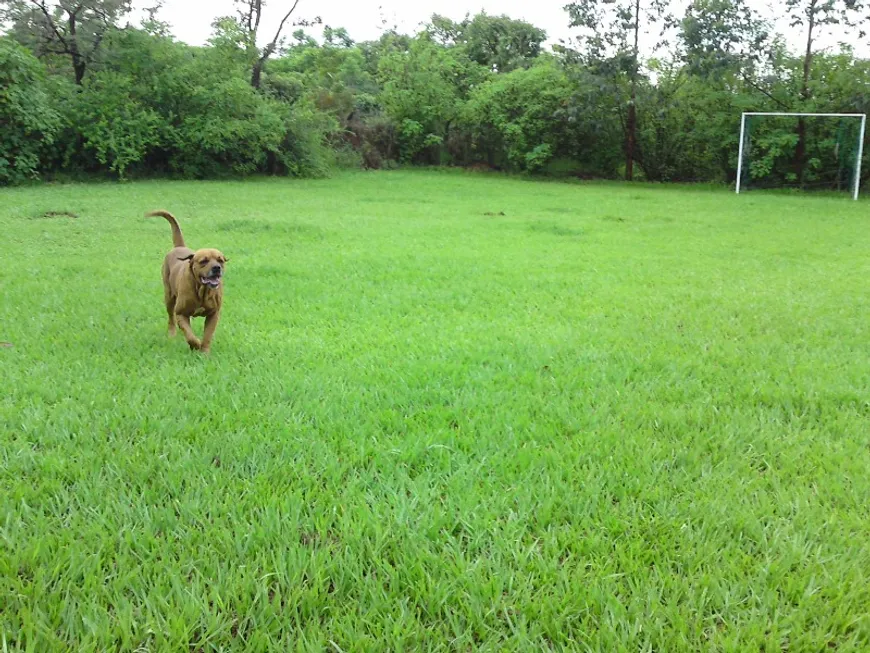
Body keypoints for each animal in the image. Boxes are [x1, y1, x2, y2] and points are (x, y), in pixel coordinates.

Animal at [148, 210, 228, 352]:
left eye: (220, 260)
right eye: (204, 261)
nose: (217, 268)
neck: (202, 291)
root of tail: (179, 247)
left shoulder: (213, 314)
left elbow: (208, 335)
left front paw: (204, 351)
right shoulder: (180, 313)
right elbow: (190, 335)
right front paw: (195, 345)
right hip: (169, 297)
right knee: (171, 318)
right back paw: (172, 333)